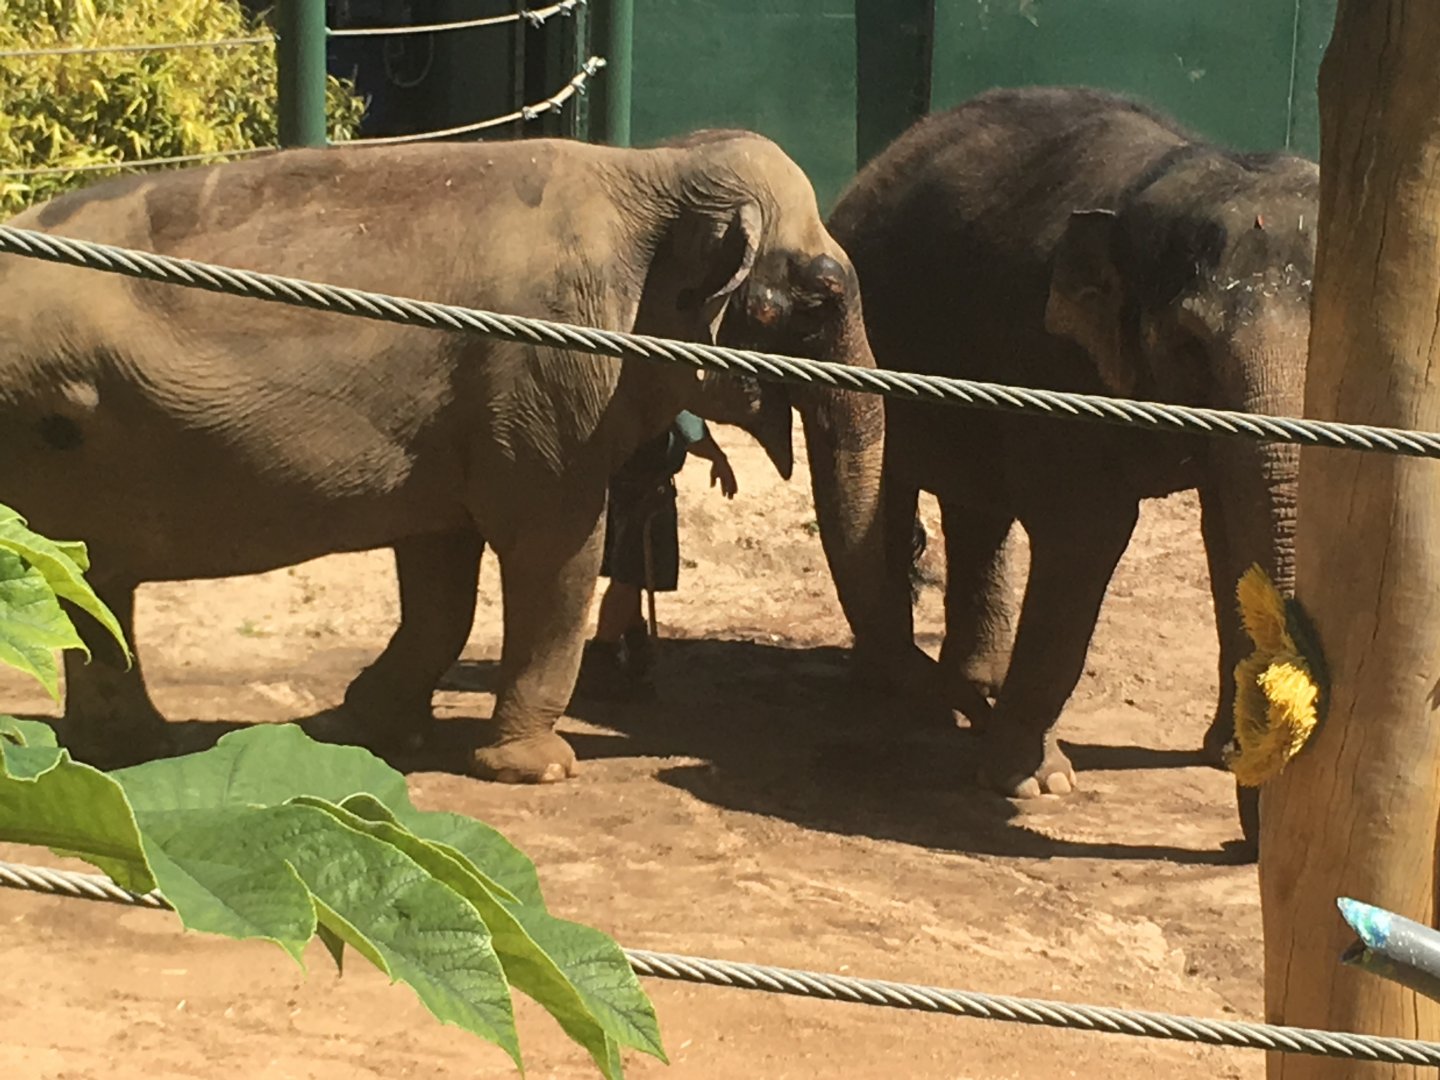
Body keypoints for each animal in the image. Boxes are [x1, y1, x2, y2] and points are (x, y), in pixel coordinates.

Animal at [0, 130, 933, 780]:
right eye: (822, 298)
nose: (916, 693)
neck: (652, 170)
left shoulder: (453, 420)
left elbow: (441, 569)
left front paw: (358, 727)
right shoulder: (546, 375)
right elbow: (555, 548)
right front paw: (537, 769)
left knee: (95, 585)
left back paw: (132, 747)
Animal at [825, 86, 1317, 821]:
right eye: (1191, 345)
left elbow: (1231, 529)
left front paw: (1224, 750)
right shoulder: (1047, 354)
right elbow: (1086, 533)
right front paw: (1034, 783)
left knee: (977, 506)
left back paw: (977, 685)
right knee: (896, 489)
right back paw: (900, 689)